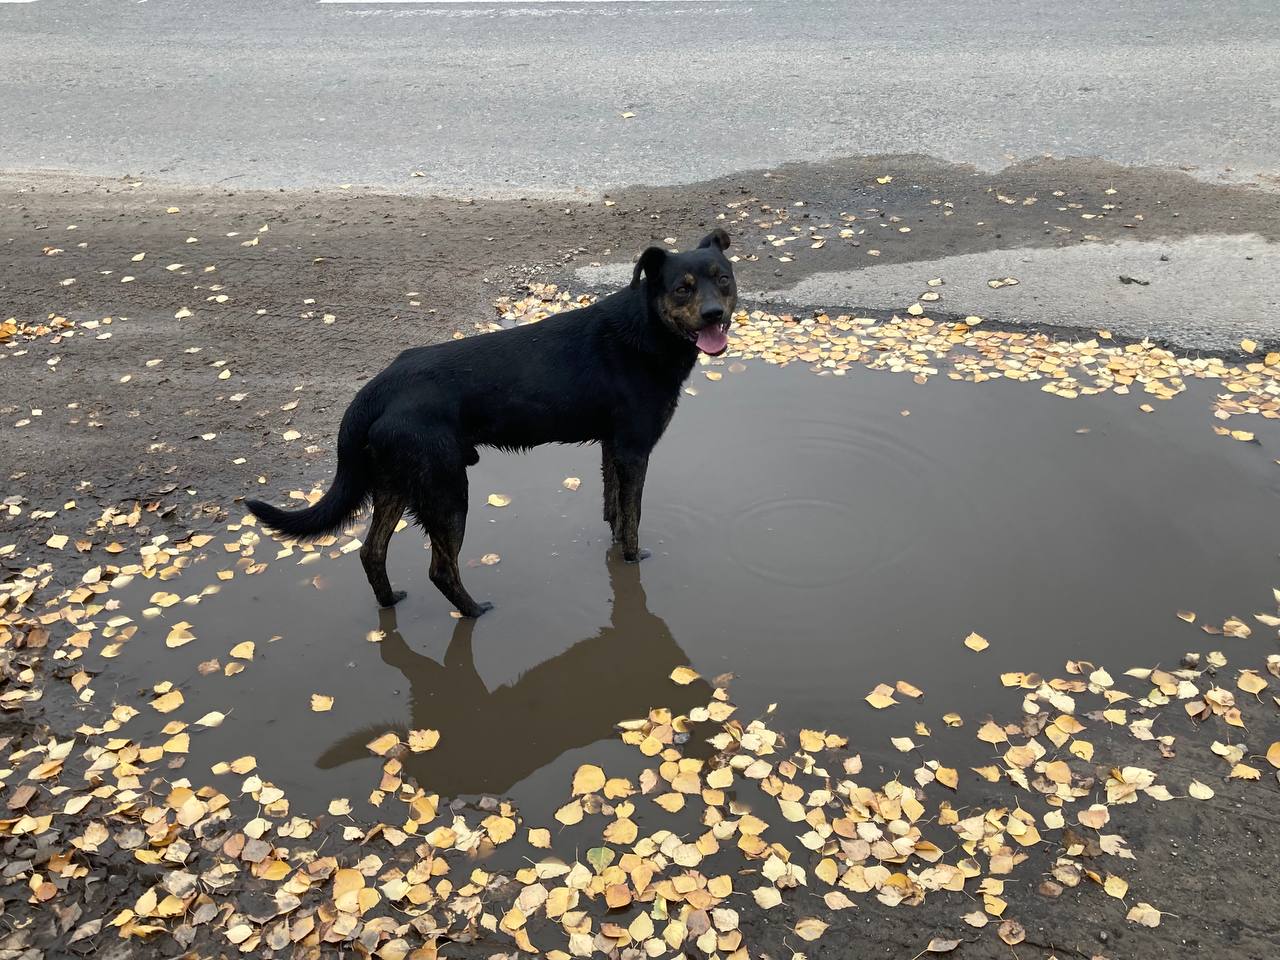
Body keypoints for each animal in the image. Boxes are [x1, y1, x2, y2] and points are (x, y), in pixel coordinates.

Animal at [244, 231, 737, 616]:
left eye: (723, 280)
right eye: (682, 289)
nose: (715, 314)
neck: (648, 329)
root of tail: (376, 389)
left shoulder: (611, 447)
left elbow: (613, 511)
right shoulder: (634, 450)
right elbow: (631, 520)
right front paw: (633, 561)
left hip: (398, 483)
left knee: (371, 552)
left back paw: (390, 602)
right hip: (446, 489)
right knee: (440, 569)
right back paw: (474, 611)